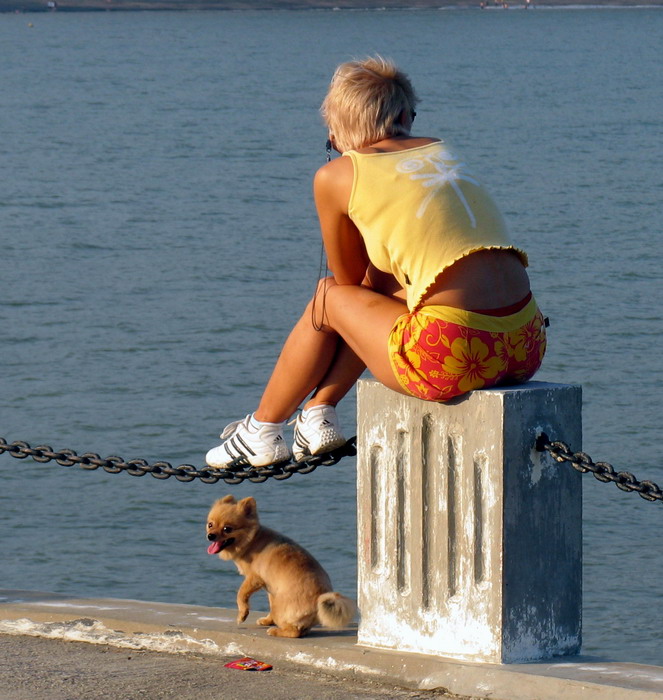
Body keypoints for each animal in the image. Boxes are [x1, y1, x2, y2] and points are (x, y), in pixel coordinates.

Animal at [206, 494, 358, 636]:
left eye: (227, 529)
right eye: (210, 525)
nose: (210, 536)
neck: (252, 541)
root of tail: (319, 599)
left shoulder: (254, 579)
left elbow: (241, 594)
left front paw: (242, 614)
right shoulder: (270, 588)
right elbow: (269, 602)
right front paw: (267, 620)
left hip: (281, 608)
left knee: (294, 632)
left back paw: (276, 631)